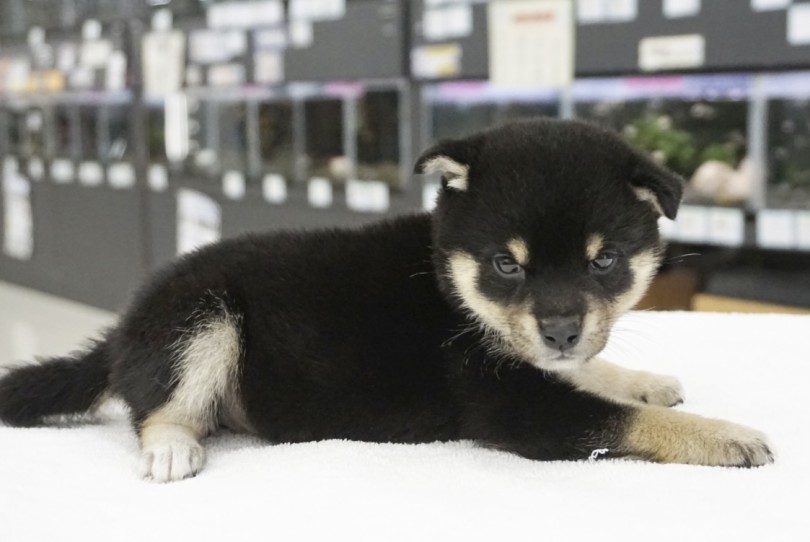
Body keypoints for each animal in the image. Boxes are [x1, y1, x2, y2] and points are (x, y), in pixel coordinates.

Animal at [0, 121, 772, 482]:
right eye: (505, 265)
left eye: (603, 261)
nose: (558, 330)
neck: (452, 290)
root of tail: (123, 327)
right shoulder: (508, 406)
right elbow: (621, 421)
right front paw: (724, 434)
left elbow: (600, 374)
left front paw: (645, 379)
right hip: (204, 317)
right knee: (158, 407)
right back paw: (170, 448)